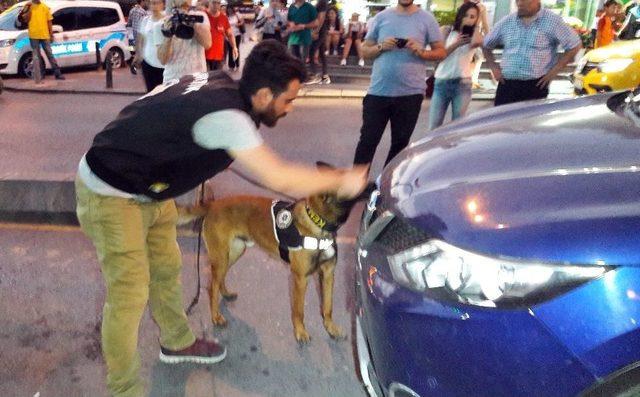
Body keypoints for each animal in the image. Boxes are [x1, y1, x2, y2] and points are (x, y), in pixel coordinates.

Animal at [178, 184, 372, 342]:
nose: (373, 184)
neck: (318, 222)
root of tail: (212, 204)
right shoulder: (300, 278)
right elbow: (299, 311)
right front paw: (300, 332)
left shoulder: (328, 274)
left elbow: (327, 306)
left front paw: (331, 328)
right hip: (221, 257)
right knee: (212, 286)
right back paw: (216, 316)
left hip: (233, 253)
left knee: (218, 280)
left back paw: (225, 293)